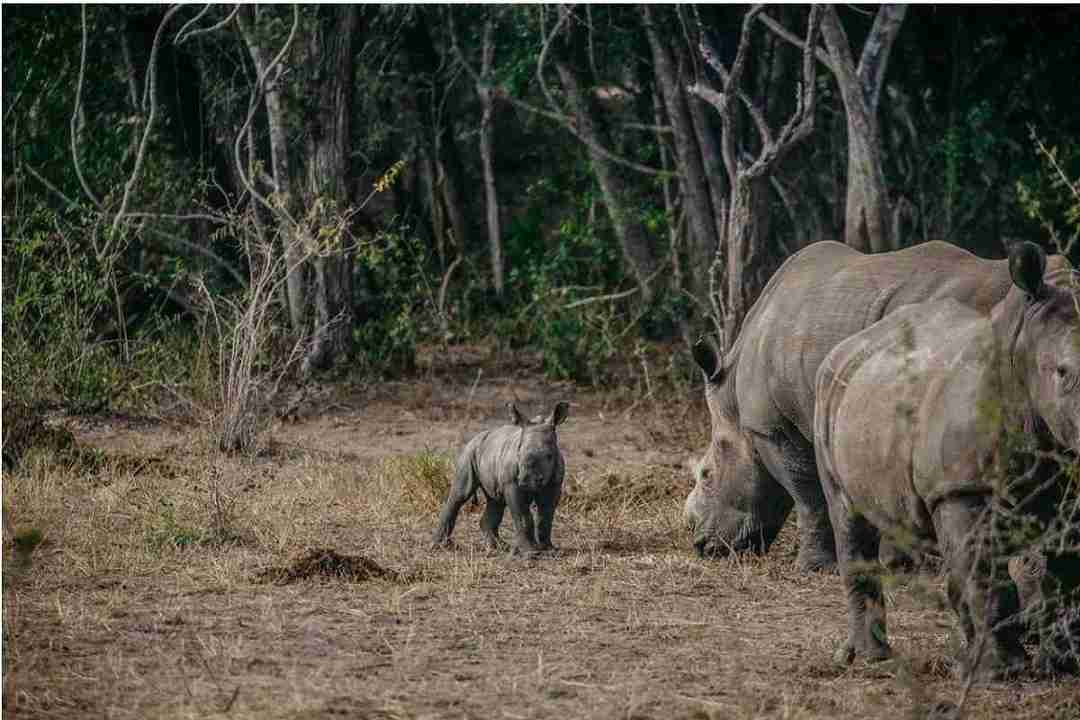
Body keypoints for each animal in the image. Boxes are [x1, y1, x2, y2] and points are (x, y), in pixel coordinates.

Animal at [429, 403, 570, 561]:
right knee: (460, 494)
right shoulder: (512, 484)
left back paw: (499, 547)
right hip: (470, 451)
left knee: (496, 501)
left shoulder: (555, 484)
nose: (526, 481)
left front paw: (550, 550)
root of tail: (477, 436)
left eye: (549, 456)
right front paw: (530, 553)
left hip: (489, 454)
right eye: (519, 454)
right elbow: (523, 517)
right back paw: (439, 546)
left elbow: (545, 517)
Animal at [686, 239, 1067, 569]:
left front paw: (814, 566)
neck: (733, 399)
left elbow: (807, 493)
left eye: (706, 475)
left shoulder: (772, 427)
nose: (700, 544)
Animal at [816, 241, 1080, 682]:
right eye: (1062, 373)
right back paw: (873, 659)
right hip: (826, 390)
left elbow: (1065, 572)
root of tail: (851, 343)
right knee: (848, 515)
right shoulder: (962, 488)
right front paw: (1002, 672)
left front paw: (1064, 664)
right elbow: (984, 573)